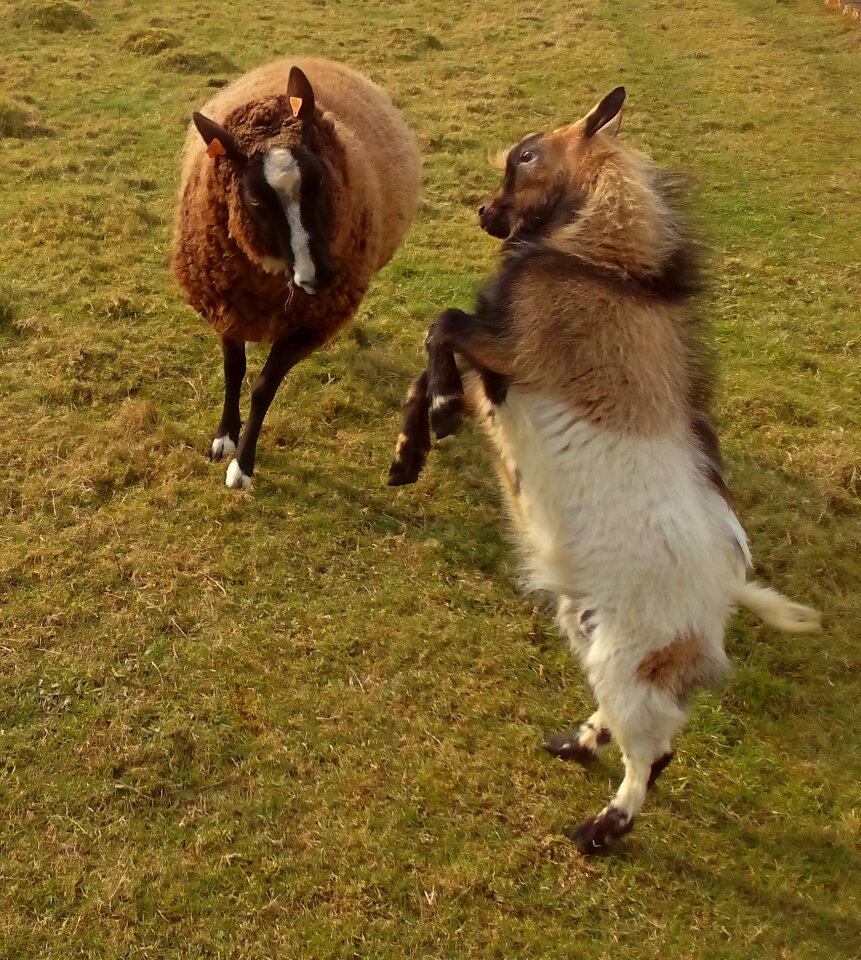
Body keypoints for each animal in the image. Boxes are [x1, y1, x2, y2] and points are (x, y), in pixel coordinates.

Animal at [171, 54, 420, 488]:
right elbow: (234, 370)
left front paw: (243, 467)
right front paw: (224, 438)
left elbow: (263, 388)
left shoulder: (307, 326)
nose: (318, 277)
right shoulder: (225, 305)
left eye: (320, 180)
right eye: (254, 199)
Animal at [390, 88, 820, 856]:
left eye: (526, 155)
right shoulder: (498, 358)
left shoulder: (517, 351)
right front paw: (410, 451)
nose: (485, 213)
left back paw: (604, 826)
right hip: (595, 631)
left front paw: (439, 412)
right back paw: (576, 744)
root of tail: (724, 589)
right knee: (632, 722)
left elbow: (441, 325)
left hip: (634, 651)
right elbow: (429, 352)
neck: (608, 266)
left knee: (654, 750)